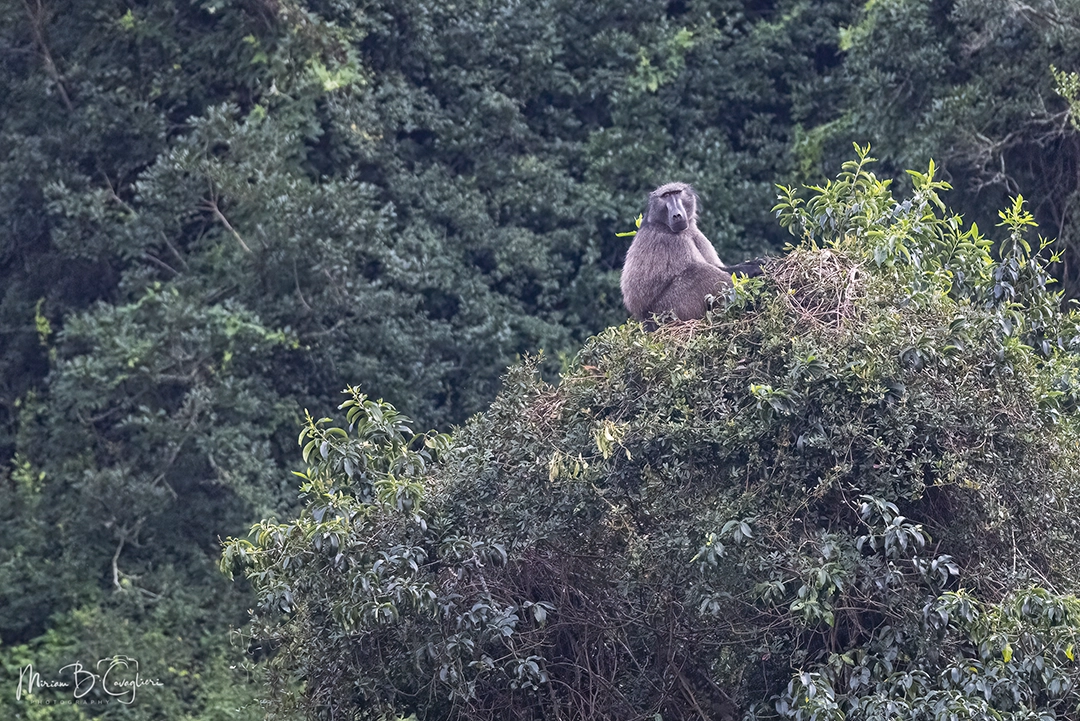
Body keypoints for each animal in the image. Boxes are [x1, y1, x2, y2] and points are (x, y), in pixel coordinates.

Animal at [620, 182, 764, 325]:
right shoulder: (675, 241)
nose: (676, 215)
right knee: (699, 271)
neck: (662, 224)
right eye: (666, 196)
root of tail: (646, 319)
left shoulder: (693, 231)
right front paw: (753, 268)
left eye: (676, 193)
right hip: (669, 310)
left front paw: (754, 263)